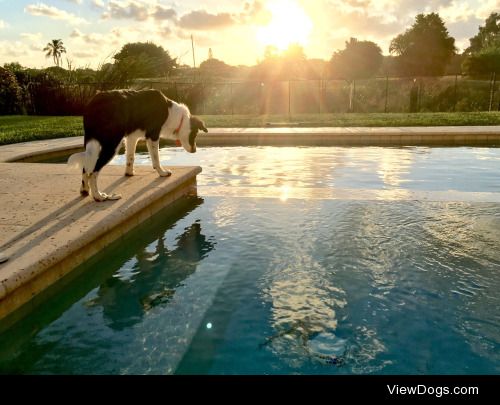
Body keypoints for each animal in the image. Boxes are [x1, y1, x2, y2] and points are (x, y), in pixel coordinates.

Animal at [68, 89, 207, 201]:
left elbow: (130, 157)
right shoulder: (152, 136)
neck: (174, 115)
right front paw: (162, 173)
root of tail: (94, 102)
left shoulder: (131, 138)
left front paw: (129, 173)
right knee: (94, 171)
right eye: (195, 134)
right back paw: (99, 196)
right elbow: (156, 159)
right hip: (112, 144)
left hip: (93, 143)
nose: (195, 150)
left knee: (86, 166)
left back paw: (85, 190)